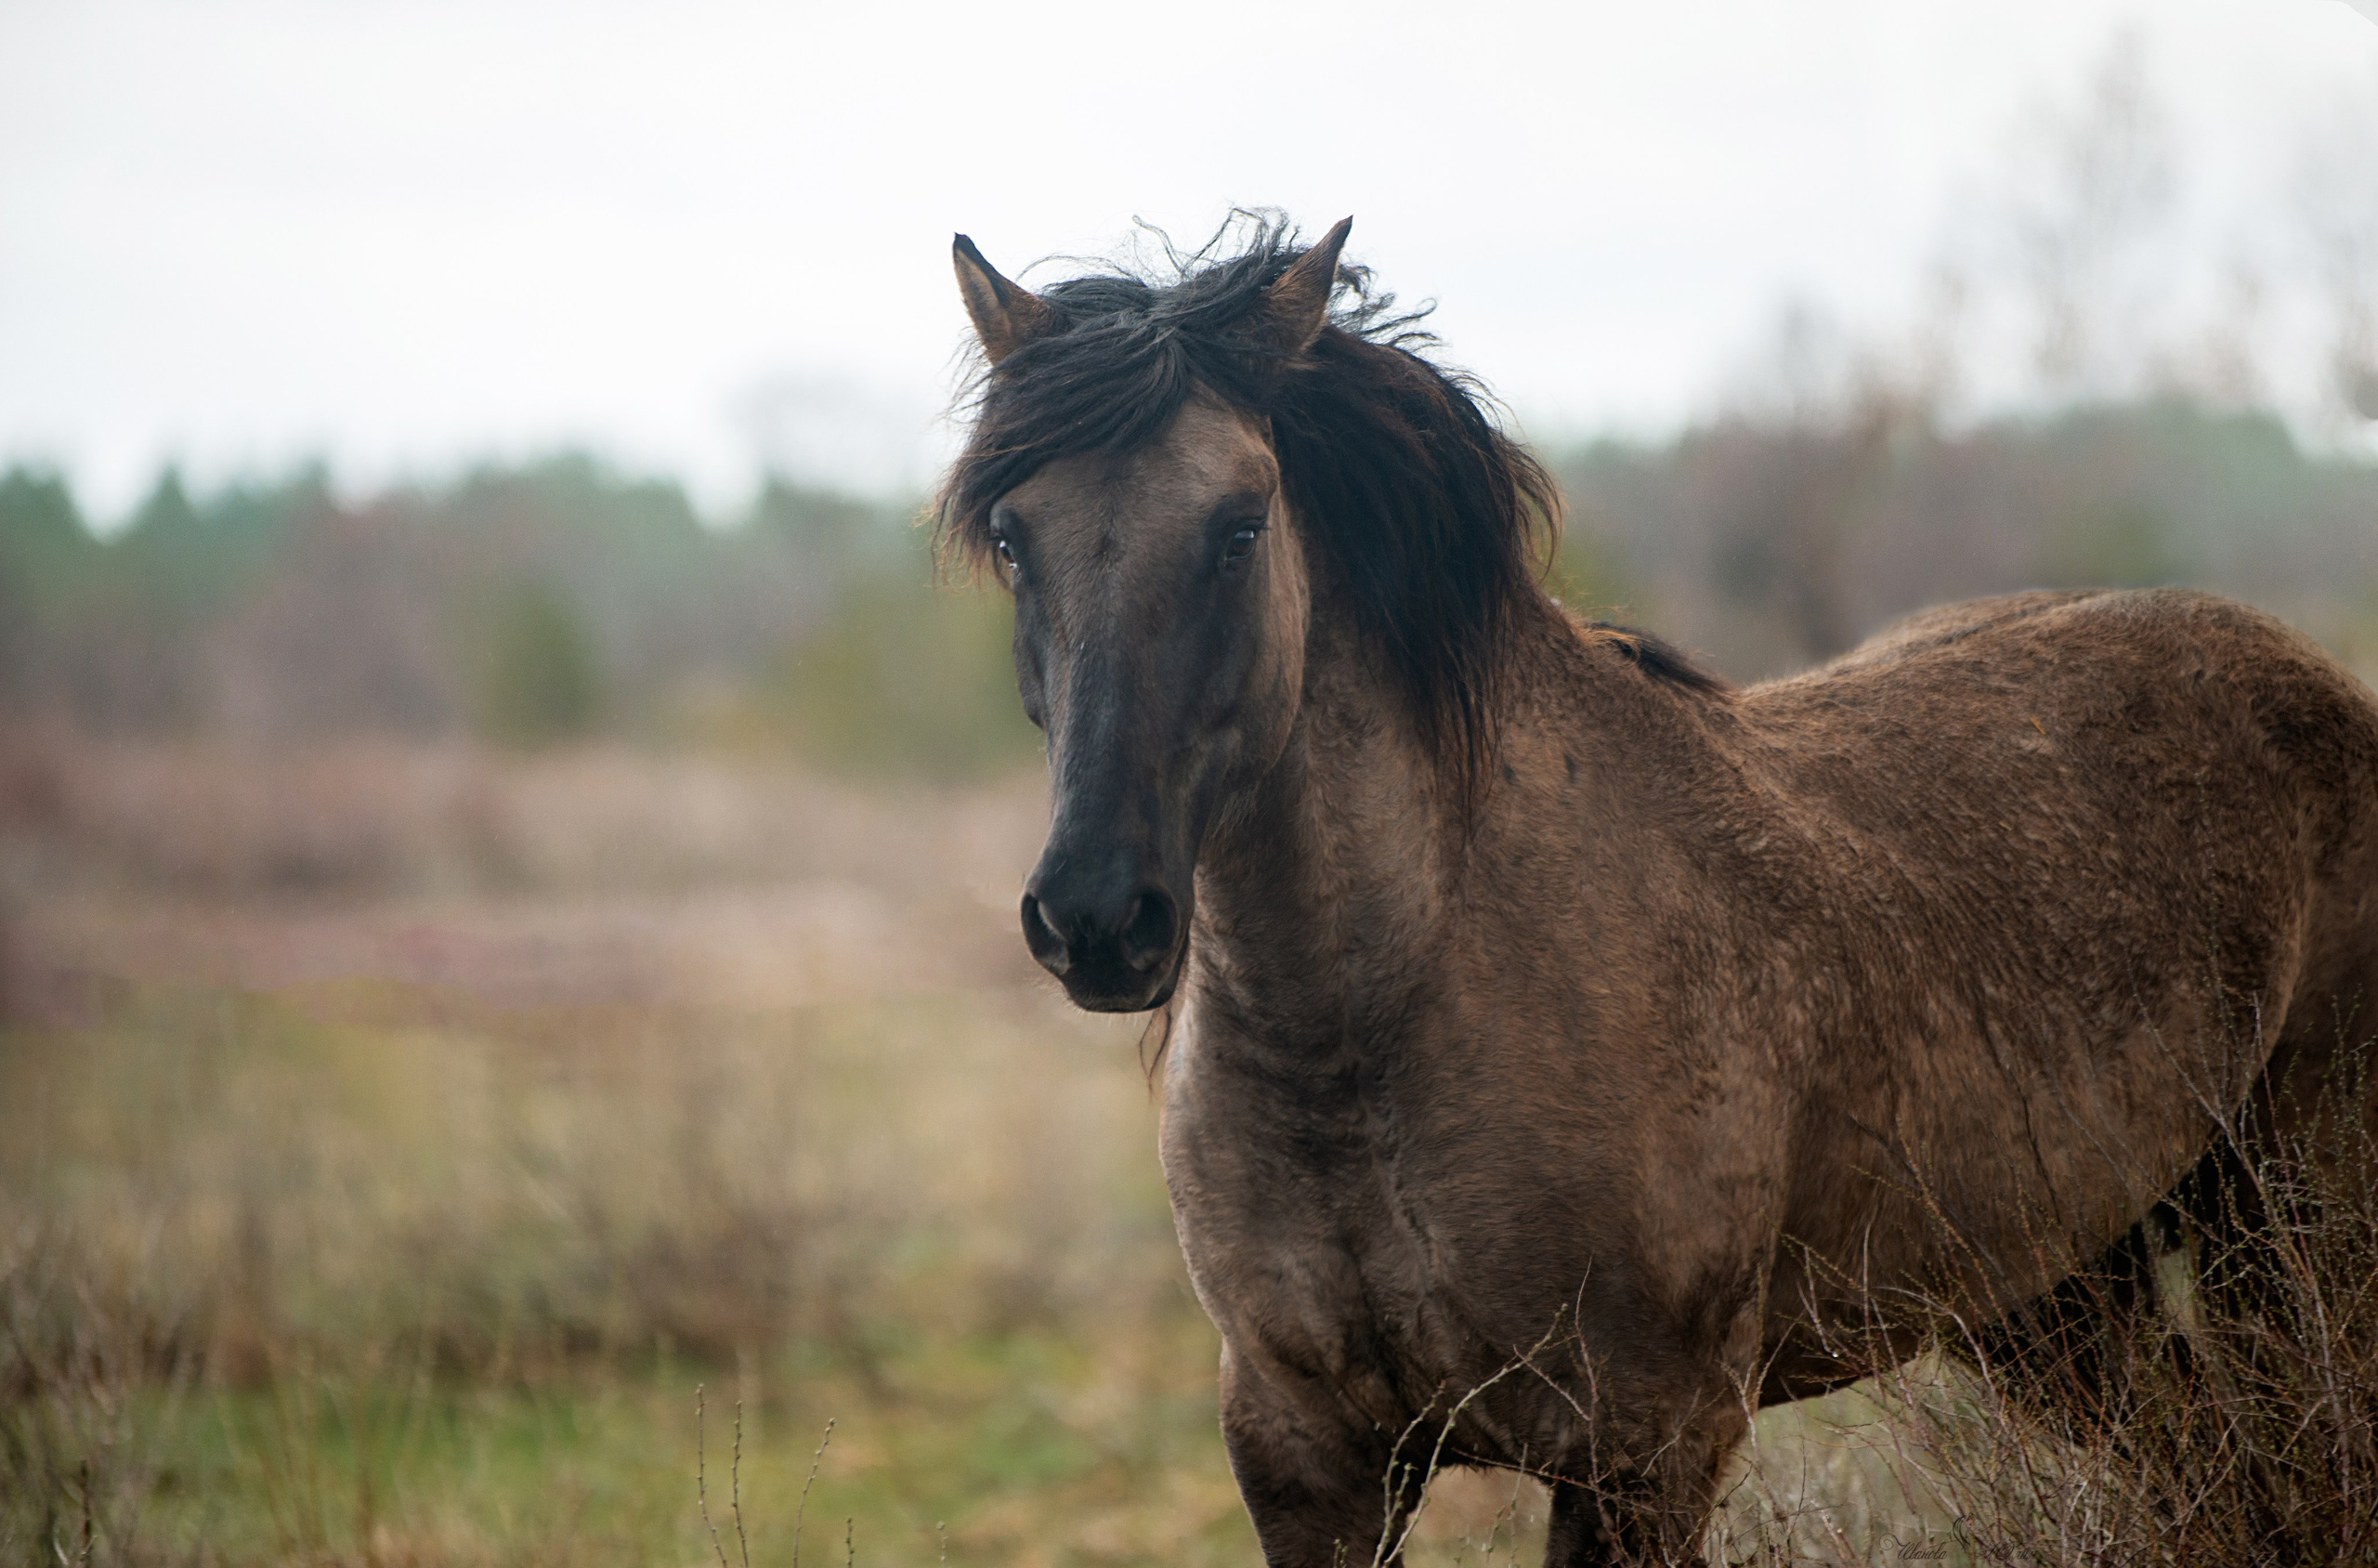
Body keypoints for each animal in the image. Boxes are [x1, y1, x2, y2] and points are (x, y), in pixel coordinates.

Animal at [936, 214, 2378, 1565]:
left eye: (1239, 527)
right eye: (1012, 535)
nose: (1096, 919)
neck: (1378, 1022)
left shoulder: (1647, 1446)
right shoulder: (1308, 1456)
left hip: (2289, 1230)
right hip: (2059, 1290)